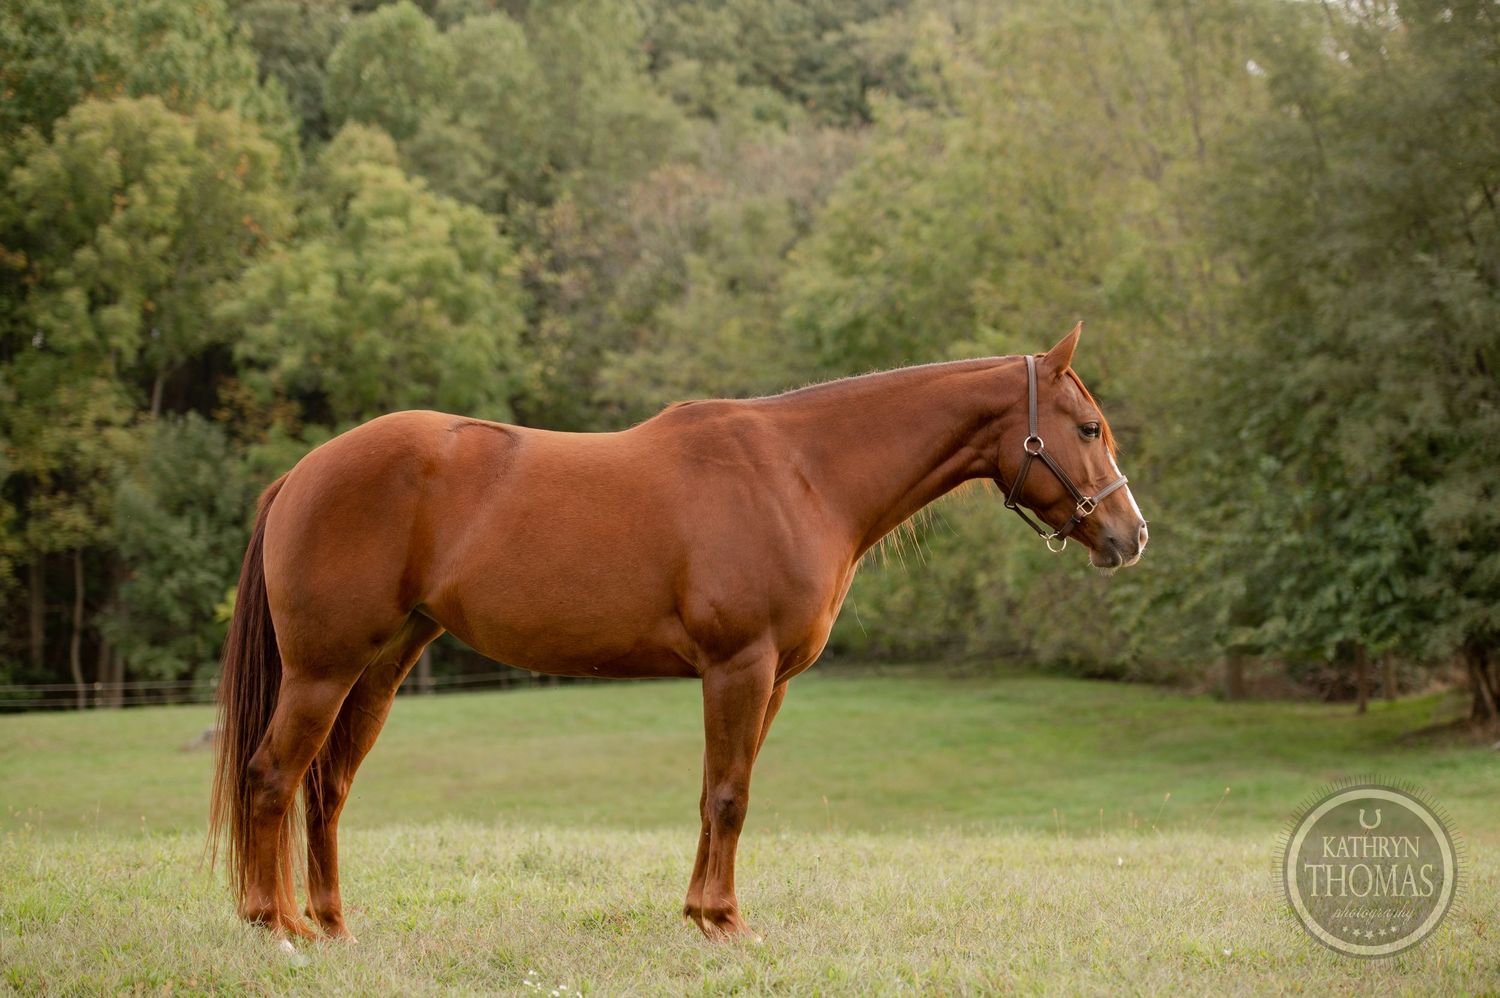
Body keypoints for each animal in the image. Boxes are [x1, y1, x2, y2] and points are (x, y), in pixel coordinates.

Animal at [208, 323, 1147, 944]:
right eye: (1088, 428)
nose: (1130, 535)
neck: (800, 475)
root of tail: (302, 473)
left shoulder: (769, 681)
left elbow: (716, 794)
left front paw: (702, 911)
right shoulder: (739, 666)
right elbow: (730, 796)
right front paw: (722, 923)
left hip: (381, 666)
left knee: (327, 788)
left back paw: (331, 924)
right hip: (323, 670)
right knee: (271, 777)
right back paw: (274, 923)